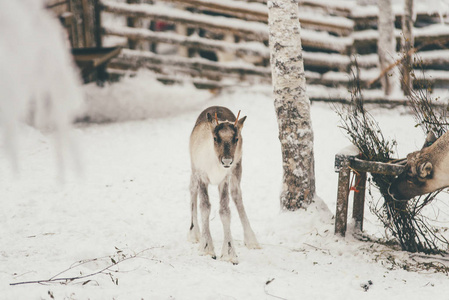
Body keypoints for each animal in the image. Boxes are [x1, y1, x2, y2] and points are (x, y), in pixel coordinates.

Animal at [189, 106, 260, 264]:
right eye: (215, 138)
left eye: (236, 138)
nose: (227, 161)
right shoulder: (202, 176)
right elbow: (205, 207)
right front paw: (206, 247)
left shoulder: (224, 179)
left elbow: (225, 211)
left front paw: (229, 252)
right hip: (193, 170)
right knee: (192, 190)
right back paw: (193, 232)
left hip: (237, 170)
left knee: (237, 196)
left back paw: (251, 239)